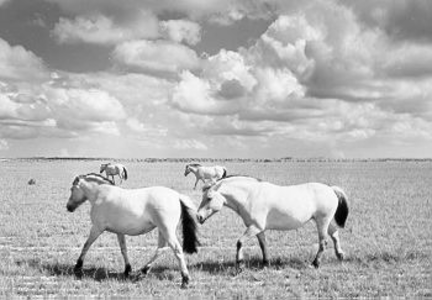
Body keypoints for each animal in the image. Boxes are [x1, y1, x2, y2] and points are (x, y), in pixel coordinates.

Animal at [66, 172, 201, 288]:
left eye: (72, 189)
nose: (68, 207)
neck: (100, 194)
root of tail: (177, 196)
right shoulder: (119, 232)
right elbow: (123, 250)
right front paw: (127, 270)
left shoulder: (97, 228)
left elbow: (86, 245)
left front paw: (78, 266)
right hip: (162, 230)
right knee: (161, 249)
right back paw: (143, 271)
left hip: (166, 230)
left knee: (176, 249)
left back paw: (185, 280)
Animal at [197, 175, 350, 270]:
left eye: (209, 198)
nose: (198, 216)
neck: (250, 196)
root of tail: (331, 189)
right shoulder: (258, 229)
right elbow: (263, 245)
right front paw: (266, 263)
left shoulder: (255, 227)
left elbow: (239, 242)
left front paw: (240, 264)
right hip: (325, 221)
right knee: (335, 234)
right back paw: (340, 255)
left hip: (322, 221)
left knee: (323, 242)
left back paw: (315, 263)